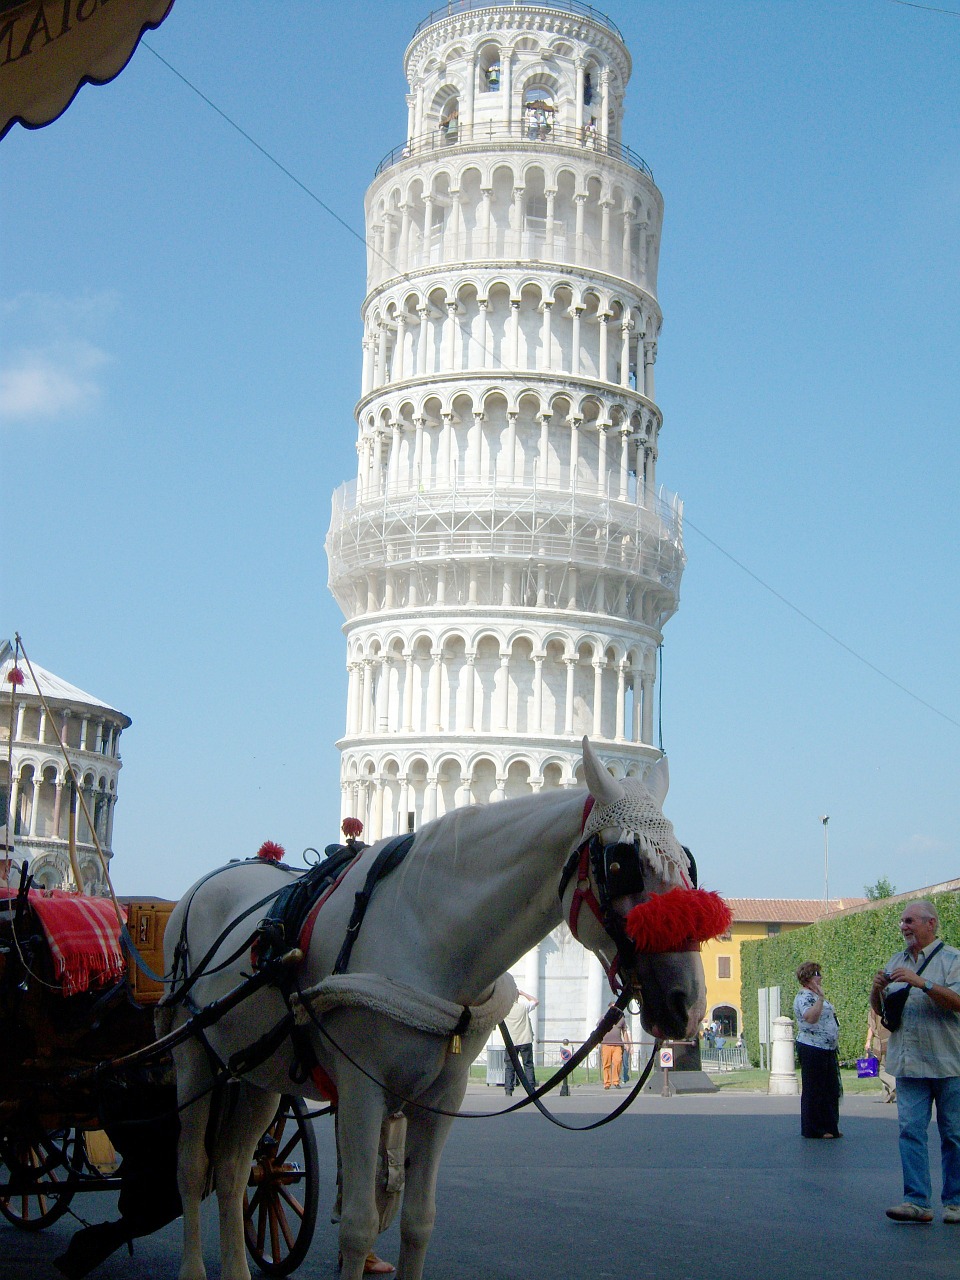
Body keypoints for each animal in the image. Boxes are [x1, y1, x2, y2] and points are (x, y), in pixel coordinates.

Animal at [161, 742, 716, 1280]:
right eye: (620, 865)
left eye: (687, 865)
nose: (686, 1003)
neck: (429, 933)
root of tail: (208, 883)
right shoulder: (361, 1090)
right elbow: (359, 1225)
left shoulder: (441, 1096)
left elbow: (418, 1221)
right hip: (193, 1056)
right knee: (192, 1167)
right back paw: (193, 1268)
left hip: (255, 1072)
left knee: (233, 1168)